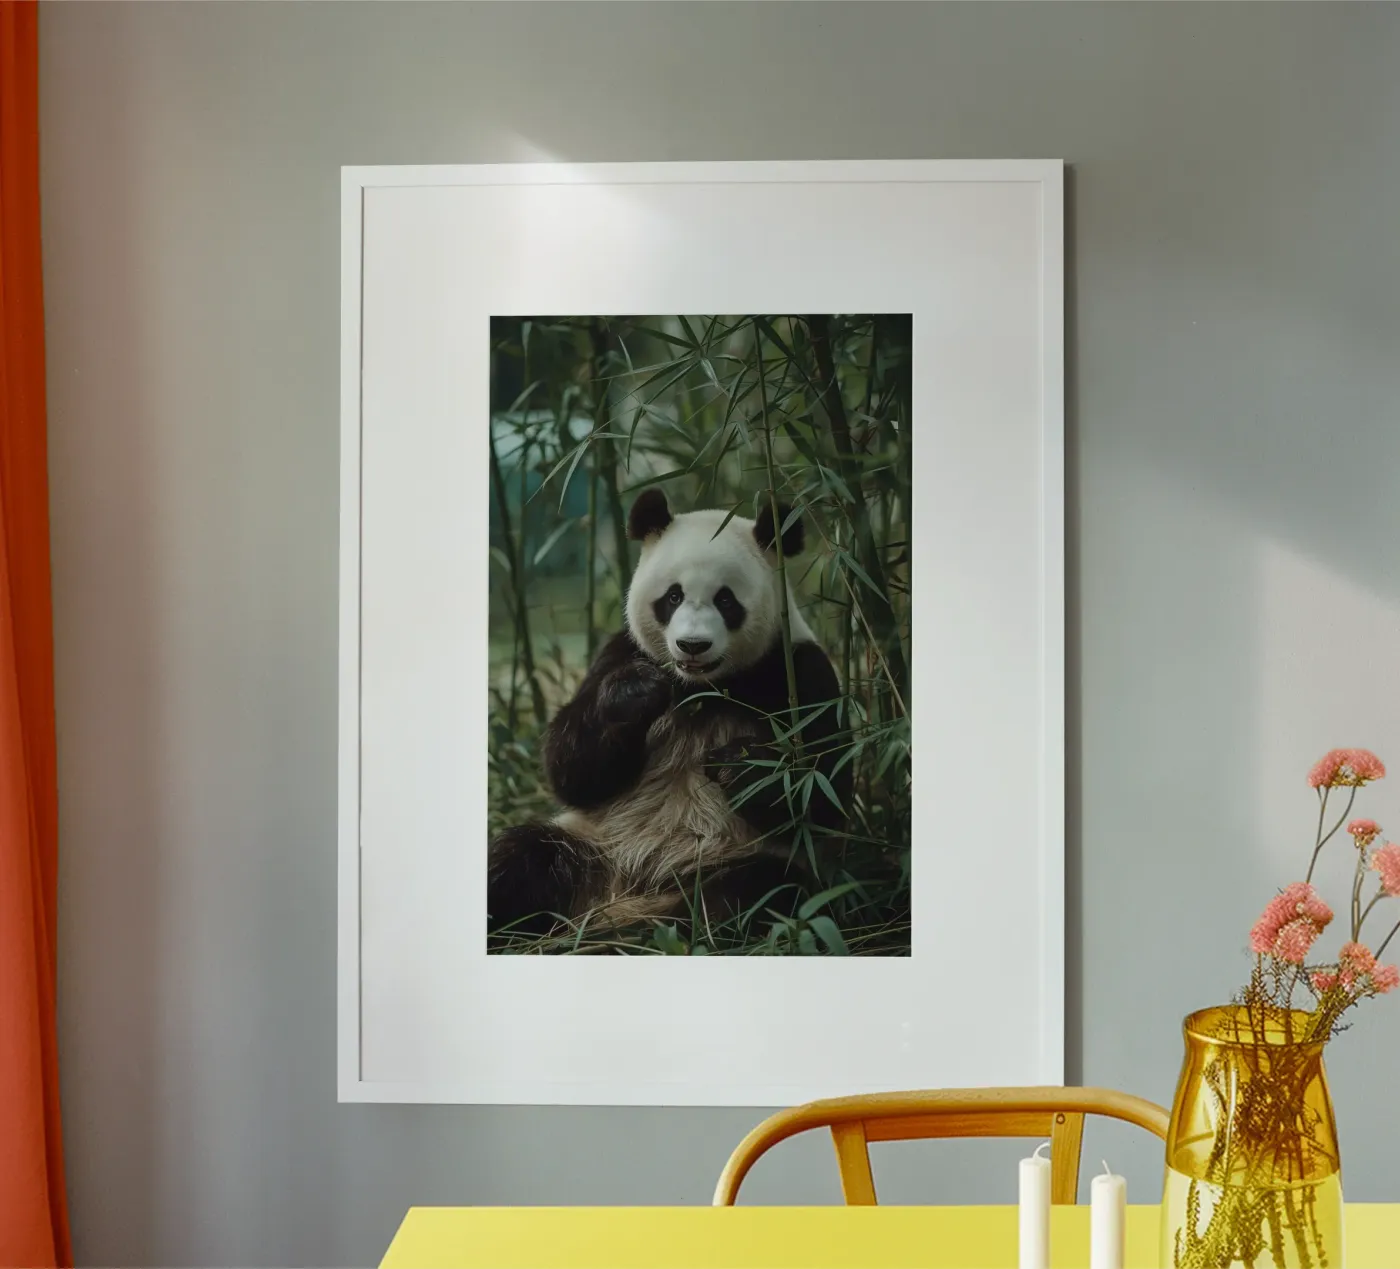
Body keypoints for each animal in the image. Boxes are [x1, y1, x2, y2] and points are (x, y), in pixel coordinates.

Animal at [487, 487, 851, 942]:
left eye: (726, 600)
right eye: (673, 596)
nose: (693, 645)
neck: (700, 686)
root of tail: (623, 894)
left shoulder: (797, 671)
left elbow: (822, 790)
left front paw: (738, 764)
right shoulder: (620, 652)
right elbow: (572, 770)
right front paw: (635, 694)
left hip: (725, 856)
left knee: (758, 891)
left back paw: (660, 931)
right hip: (591, 844)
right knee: (521, 858)